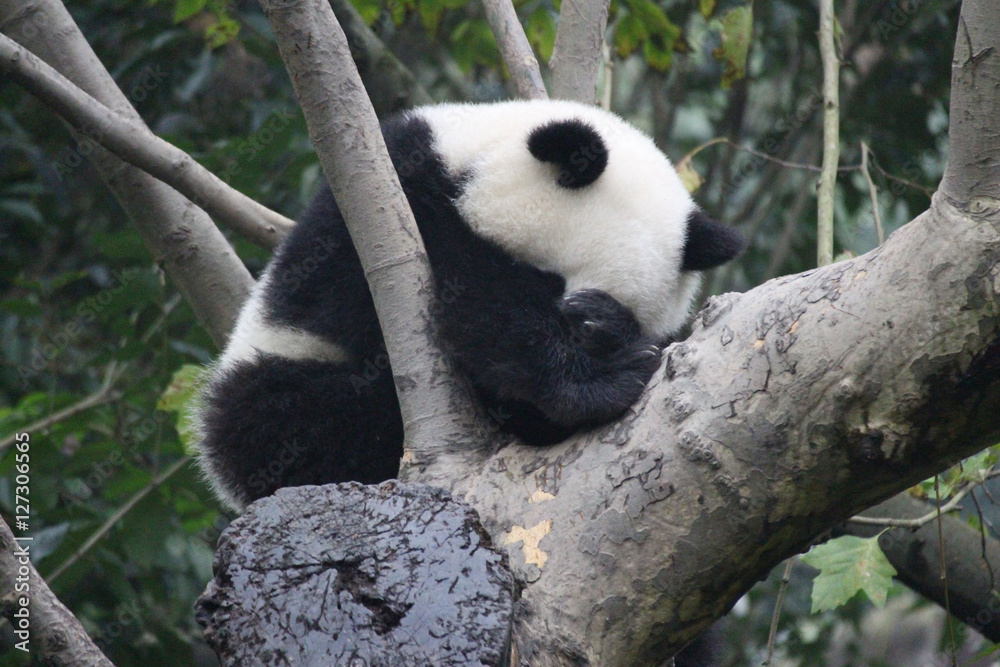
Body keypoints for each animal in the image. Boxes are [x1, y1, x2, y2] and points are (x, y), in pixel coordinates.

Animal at [195, 99, 744, 513]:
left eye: (623, 305)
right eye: (545, 279)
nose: (585, 325)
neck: (469, 155)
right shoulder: (390, 212)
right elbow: (481, 307)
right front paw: (604, 379)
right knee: (291, 417)